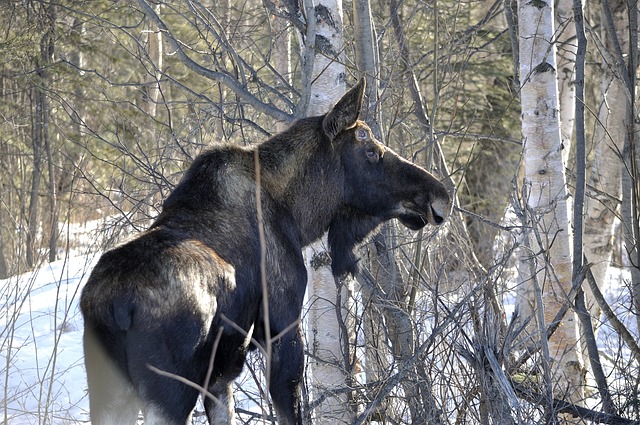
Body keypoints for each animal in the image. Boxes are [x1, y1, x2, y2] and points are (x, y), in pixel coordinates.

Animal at [80, 78, 450, 422]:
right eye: (370, 151)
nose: (441, 195)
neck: (300, 216)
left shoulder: (220, 377)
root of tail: (115, 307)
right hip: (170, 393)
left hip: (109, 394)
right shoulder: (282, 326)